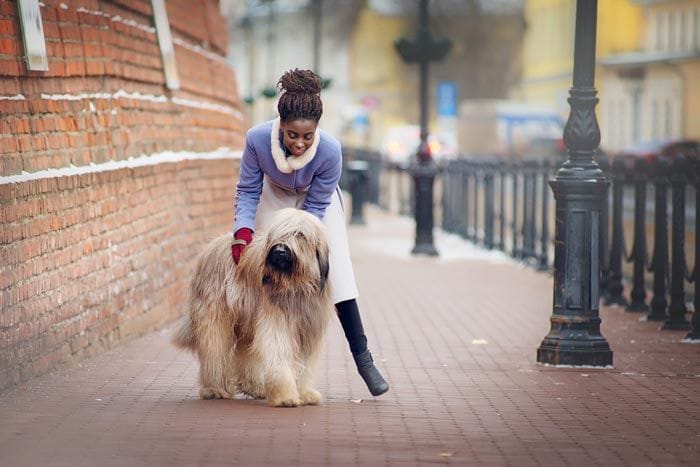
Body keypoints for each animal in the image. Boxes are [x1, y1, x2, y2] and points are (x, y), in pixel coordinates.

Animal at [171, 207, 332, 406]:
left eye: (300, 234)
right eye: (277, 234)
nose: (279, 251)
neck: (295, 285)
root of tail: (212, 246)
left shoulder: (309, 331)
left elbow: (305, 365)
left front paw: (305, 393)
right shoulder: (277, 323)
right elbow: (279, 354)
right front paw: (285, 396)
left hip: (247, 318)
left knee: (245, 350)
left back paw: (254, 387)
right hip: (215, 317)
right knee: (214, 349)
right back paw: (214, 388)